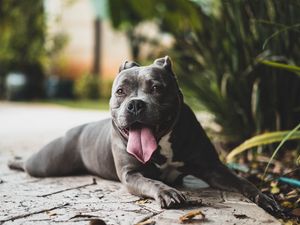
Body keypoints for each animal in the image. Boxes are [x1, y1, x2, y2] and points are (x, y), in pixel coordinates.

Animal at [9, 55, 282, 216]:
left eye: (157, 88)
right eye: (120, 91)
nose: (135, 104)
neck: (162, 143)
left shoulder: (213, 168)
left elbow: (243, 182)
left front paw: (264, 198)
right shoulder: (132, 174)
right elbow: (152, 182)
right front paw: (168, 192)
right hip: (47, 162)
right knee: (30, 163)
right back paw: (14, 161)